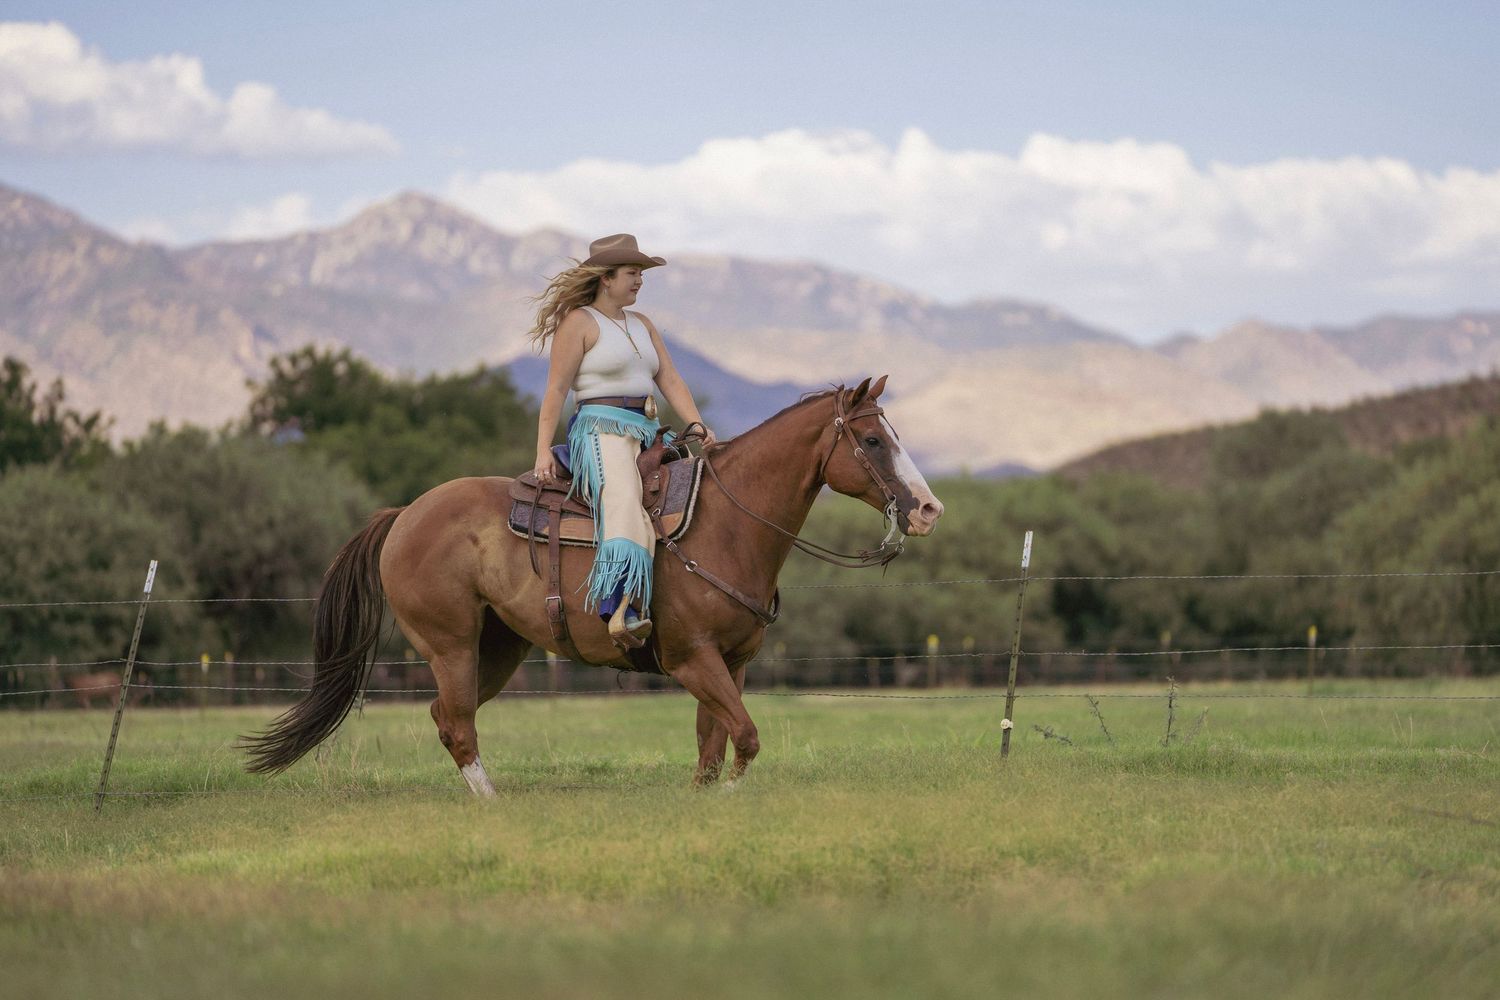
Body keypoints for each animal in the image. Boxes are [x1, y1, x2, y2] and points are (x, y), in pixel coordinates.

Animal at [242, 376, 944, 794]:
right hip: (449, 644)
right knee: (459, 724)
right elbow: (744, 738)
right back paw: (492, 805)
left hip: (497, 649)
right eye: (874, 439)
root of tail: (404, 514)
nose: (929, 509)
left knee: (448, 715)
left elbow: (713, 747)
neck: (725, 523)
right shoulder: (692, 660)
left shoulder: (732, 663)